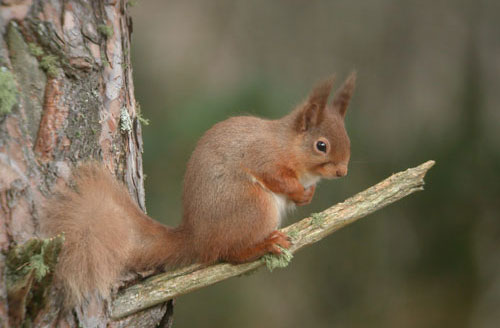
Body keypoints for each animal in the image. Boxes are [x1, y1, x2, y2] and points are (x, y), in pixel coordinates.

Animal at [43, 72, 356, 304]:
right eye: (321, 146)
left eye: (347, 139)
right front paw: (300, 192)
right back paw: (263, 245)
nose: (343, 171)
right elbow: (275, 177)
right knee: (227, 254)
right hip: (254, 206)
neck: (288, 144)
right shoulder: (264, 157)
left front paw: (308, 196)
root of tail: (197, 238)